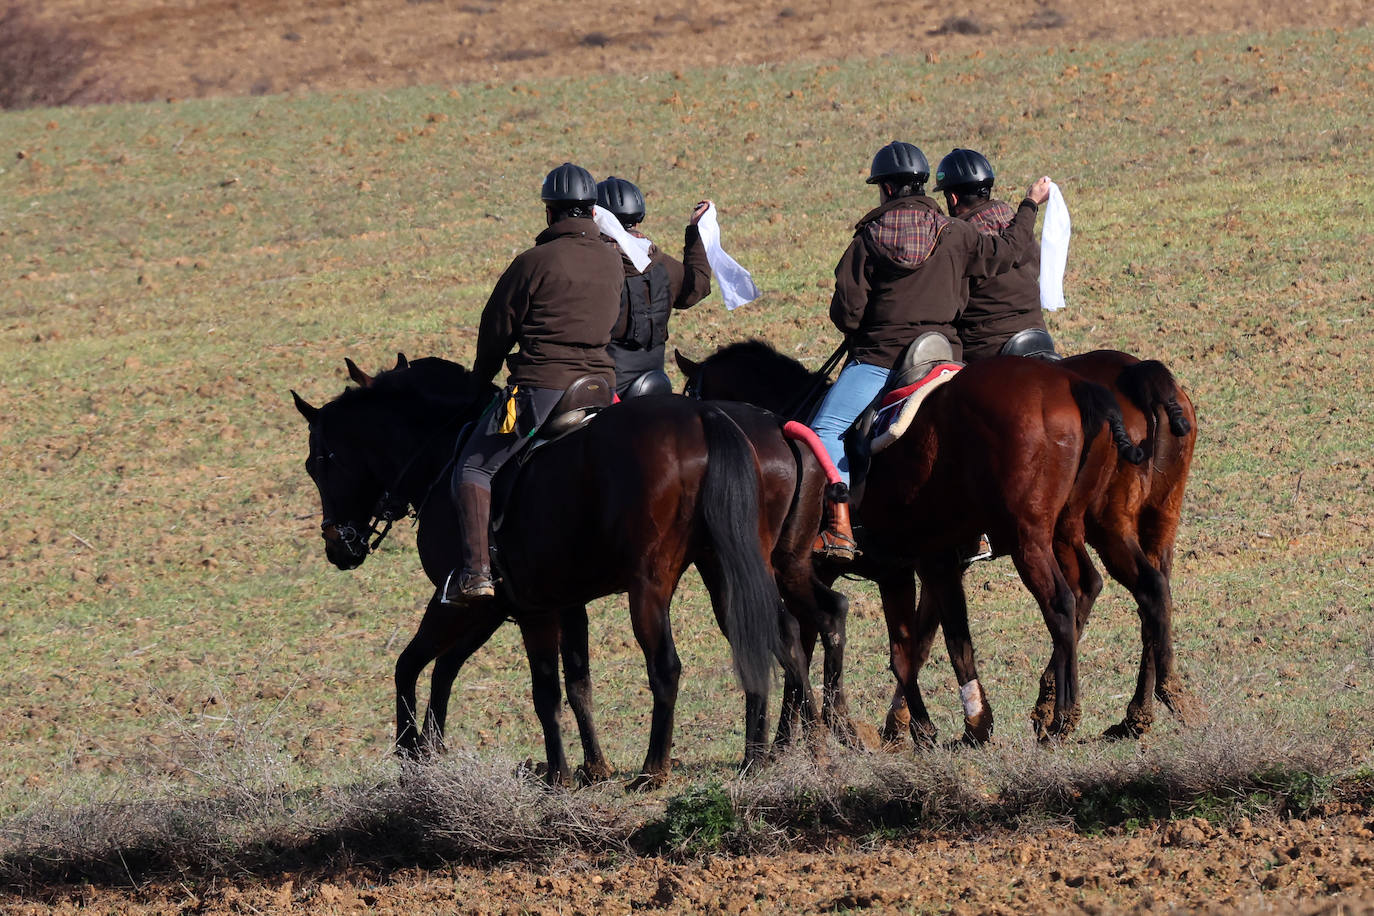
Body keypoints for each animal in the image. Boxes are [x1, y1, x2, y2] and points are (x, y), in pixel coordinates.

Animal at [292, 357, 824, 791]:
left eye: (318, 463)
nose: (338, 545)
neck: (442, 450)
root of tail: (705, 417)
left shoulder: (490, 605)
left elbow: (502, 681)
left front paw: (417, 753)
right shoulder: (541, 605)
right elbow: (572, 681)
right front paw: (592, 768)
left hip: (650, 586)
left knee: (667, 666)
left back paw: (656, 769)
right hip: (729, 568)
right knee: (777, 635)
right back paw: (779, 752)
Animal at [681, 340, 1198, 741]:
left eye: (690, 393)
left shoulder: (865, 568)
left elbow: (890, 648)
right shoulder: (928, 564)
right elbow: (933, 642)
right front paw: (948, 724)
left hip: (1051, 536)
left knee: (1067, 603)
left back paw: (1064, 716)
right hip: (1124, 526)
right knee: (1141, 590)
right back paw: (1149, 705)